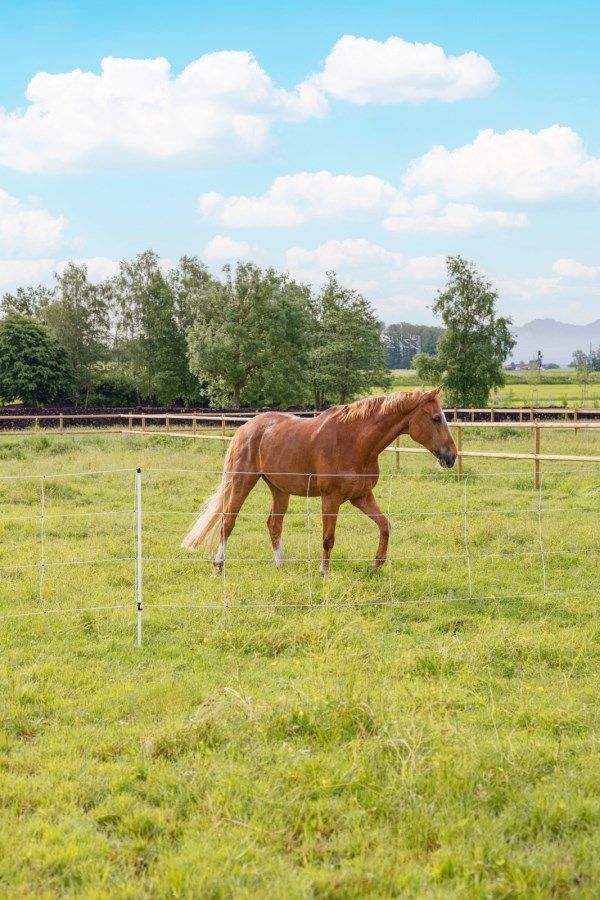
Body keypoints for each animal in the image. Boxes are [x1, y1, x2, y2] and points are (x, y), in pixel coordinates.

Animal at [181, 387, 457, 576]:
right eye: (436, 418)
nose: (452, 456)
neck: (355, 442)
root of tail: (245, 428)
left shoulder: (361, 497)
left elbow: (385, 525)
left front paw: (376, 564)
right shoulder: (331, 498)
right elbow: (328, 538)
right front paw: (324, 572)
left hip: (279, 489)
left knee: (274, 524)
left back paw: (280, 565)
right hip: (242, 481)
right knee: (227, 521)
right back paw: (218, 565)